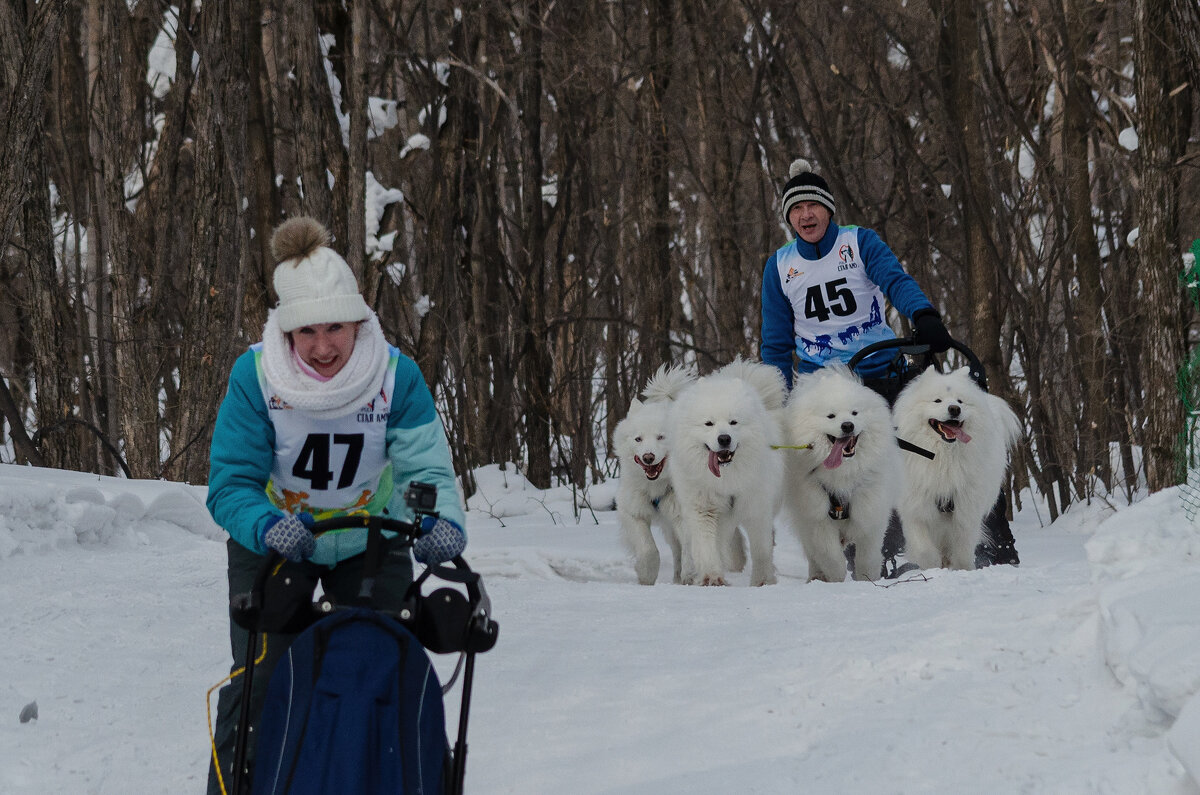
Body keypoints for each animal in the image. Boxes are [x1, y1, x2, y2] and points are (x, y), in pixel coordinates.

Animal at [619, 365, 696, 586]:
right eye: (638, 438)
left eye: (661, 437)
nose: (648, 457)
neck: (658, 486)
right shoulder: (633, 512)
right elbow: (647, 548)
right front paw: (646, 575)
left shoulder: (685, 513)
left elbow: (690, 547)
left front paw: (691, 574)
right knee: (676, 550)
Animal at [667, 357, 787, 588]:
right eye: (709, 423)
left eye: (733, 422)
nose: (724, 438)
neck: (726, 479)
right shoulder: (703, 508)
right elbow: (706, 547)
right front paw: (711, 577)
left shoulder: (757, 509)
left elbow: (761, 550)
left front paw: (762, 581)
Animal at [777, 365, 902, 583]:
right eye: (831, 416)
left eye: (854, 413)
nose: (847, 425)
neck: (844, 473)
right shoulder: (818, 517)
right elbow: (831, 557)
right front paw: (836, 580)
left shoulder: (869, 510)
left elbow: (867, 557)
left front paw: (868, 579)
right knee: (813, 555)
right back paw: (816, 577)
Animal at [892, 367, 1022, 574]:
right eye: (937, 400)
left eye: (960, 401)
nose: (954, 409)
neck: (943, 457)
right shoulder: (916, 507)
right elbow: (924, 550)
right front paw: (933, 569)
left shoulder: (965, 510)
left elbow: (962, 550)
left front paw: (961, 570)